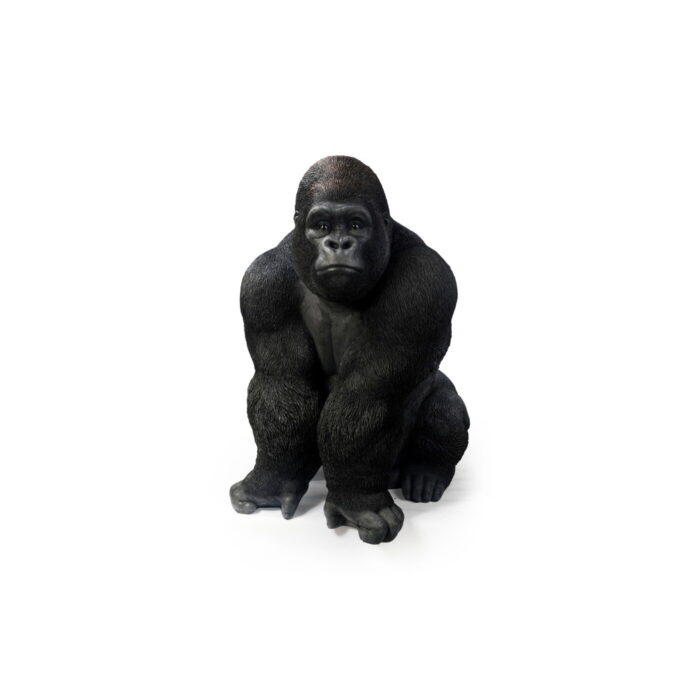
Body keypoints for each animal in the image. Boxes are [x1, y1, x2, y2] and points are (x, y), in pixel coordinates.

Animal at [230, 156, 469, 544]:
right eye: (321, 225)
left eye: (356, 225)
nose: (338, 243)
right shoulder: (261, 282)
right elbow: (283, 384)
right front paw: (273, 479)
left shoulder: (426, 282)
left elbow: (370, 393)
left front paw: (356, 499)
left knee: (445, 405)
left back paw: (427, 472)